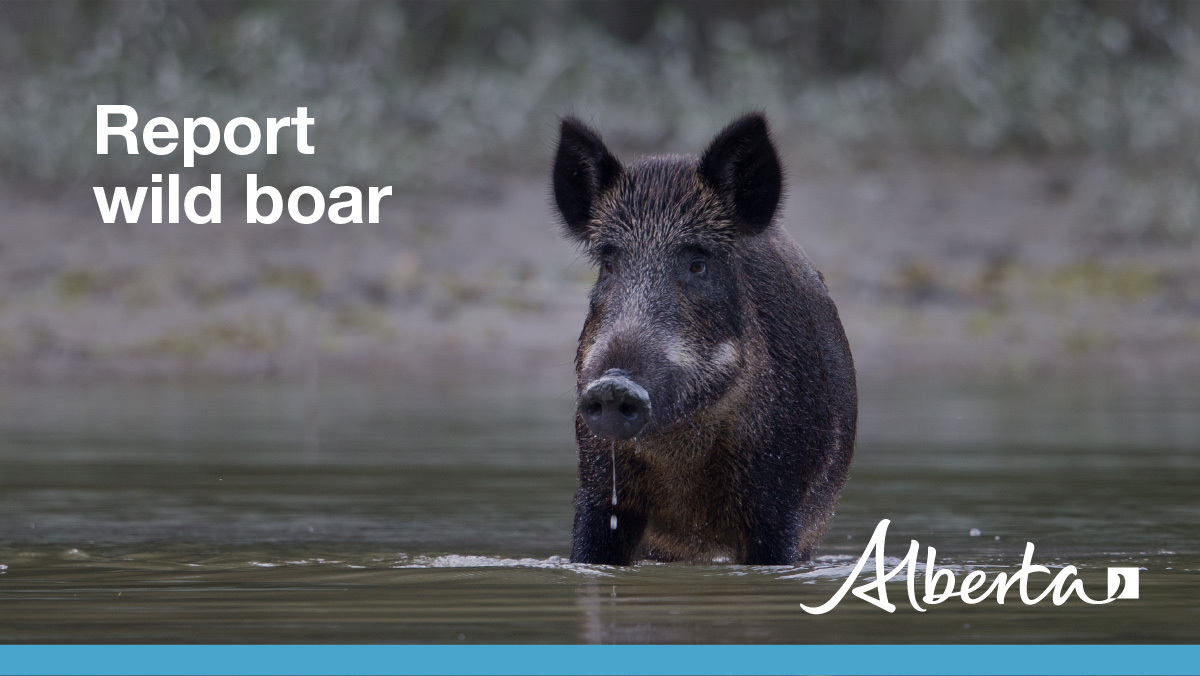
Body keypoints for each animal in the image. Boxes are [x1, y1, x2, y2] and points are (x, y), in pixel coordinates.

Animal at [552, 113, 856, 565]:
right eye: (607, 263)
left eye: (698, 264)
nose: (613, 384)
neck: (681, 452)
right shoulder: (598, 489)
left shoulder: (778, 502)